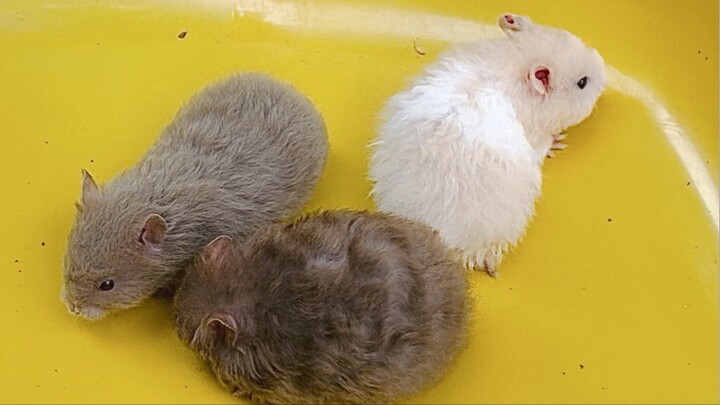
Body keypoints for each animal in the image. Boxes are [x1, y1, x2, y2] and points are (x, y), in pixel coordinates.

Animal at [369, 13, 606, 276]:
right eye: (582, 82)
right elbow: (545, 145)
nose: (605, 71)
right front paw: (558, 142)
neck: (516, 59)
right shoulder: (536, 139)